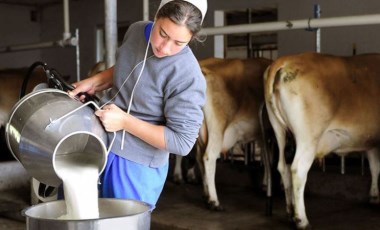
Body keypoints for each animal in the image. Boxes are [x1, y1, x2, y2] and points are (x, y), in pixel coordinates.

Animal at [264, 52, 380, 228]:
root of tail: (284, 61)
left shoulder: (371, 142)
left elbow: (374, 167)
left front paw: (374, 197)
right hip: (308, 138)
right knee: (298, 169)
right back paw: (302, 220)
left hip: (279, 130)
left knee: (283, 167)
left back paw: (291, 212)